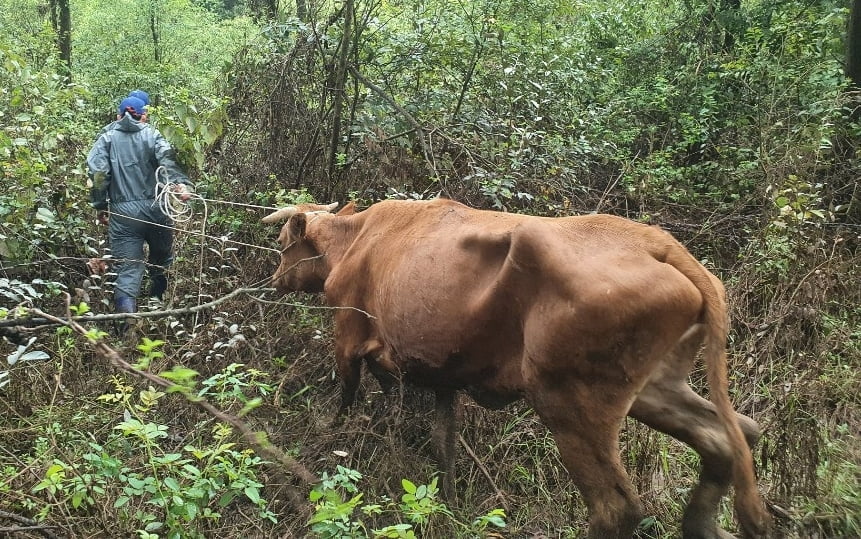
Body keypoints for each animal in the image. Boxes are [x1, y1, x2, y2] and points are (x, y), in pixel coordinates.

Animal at [264, 199, 772, 539]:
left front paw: (325, 447)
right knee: (730, 435)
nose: (272, 281)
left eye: (284, 243)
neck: (357, 238)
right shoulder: (445, 374)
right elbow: (442, 442)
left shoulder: (349, 336)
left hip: (569, 401)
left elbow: (348, 401)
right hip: (654, 387)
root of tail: (661, 244)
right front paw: (449, 506)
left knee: (616, 508)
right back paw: (705, 524)